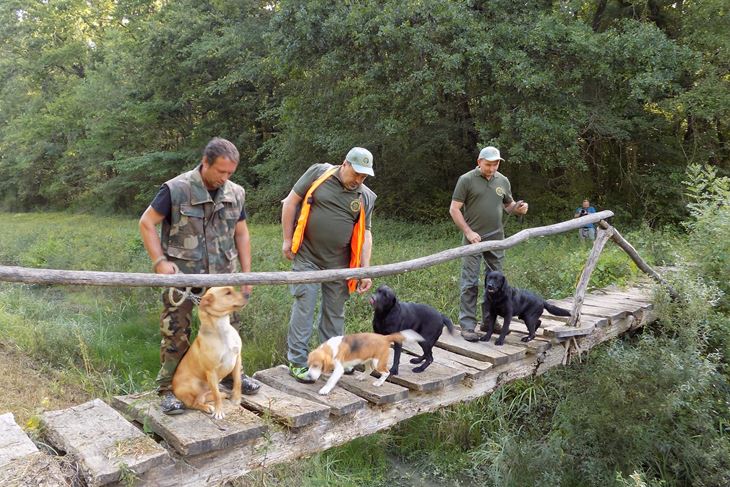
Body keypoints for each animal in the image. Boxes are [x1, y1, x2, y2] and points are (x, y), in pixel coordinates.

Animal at [171, 286, 247, 420]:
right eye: (228, 293)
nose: (248, 294)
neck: (222, 329)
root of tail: (173, 388)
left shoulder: (237, 359)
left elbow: (237, 381)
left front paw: (236, 398)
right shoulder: (211, 371)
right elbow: (216, 395)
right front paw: (219, 411)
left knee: (207, 397)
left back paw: (222, 395)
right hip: (195, 386)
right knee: (195, 403)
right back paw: (207, 407)